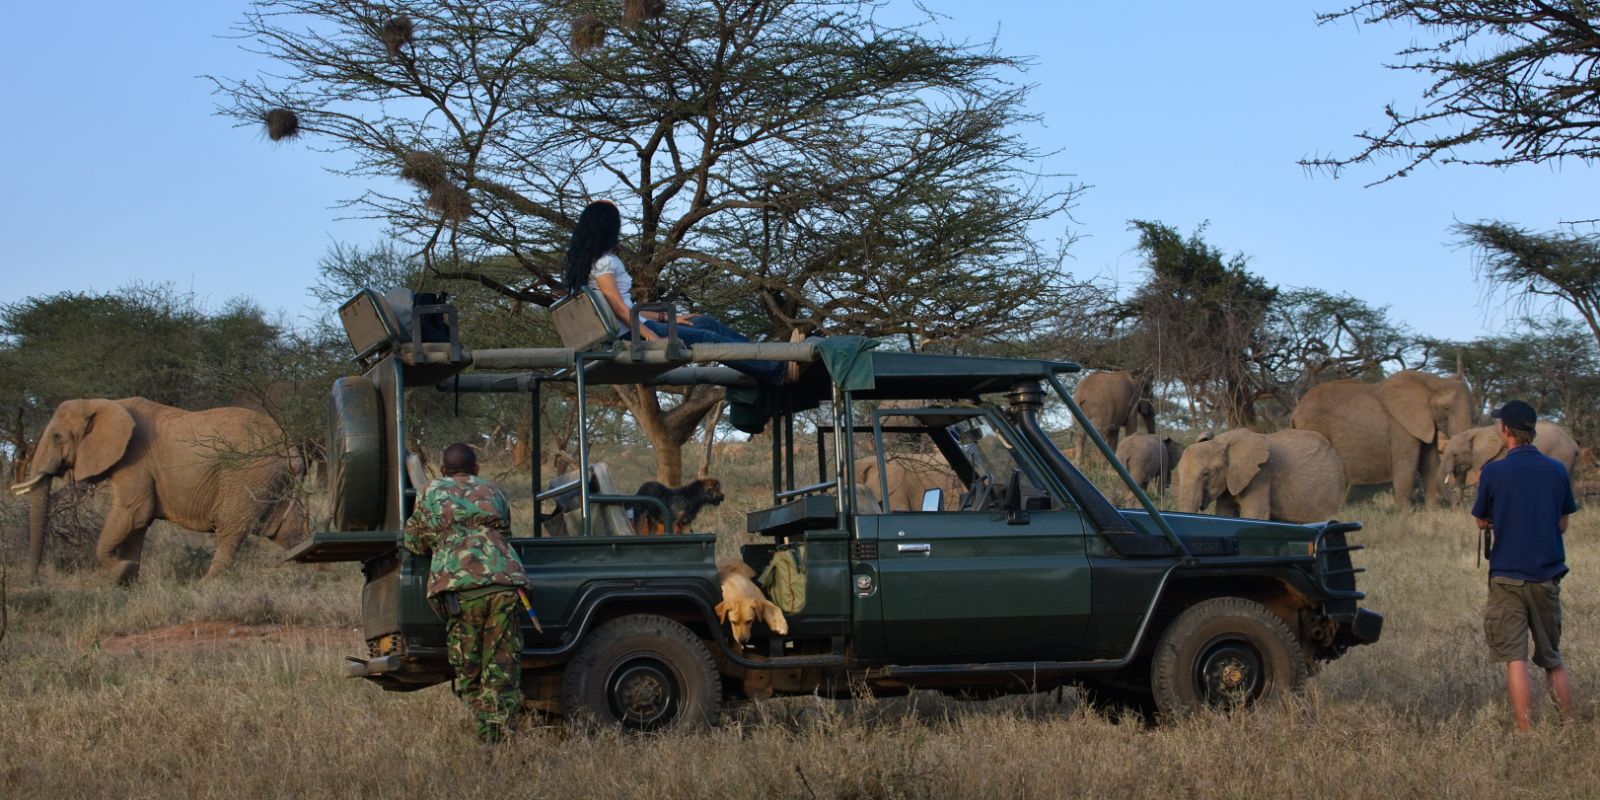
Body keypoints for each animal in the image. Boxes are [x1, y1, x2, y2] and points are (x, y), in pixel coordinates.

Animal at [11, 398, 308, 583]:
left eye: (57, 436)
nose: (32, 579)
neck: (103, 403)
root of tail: (290, 446)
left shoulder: (135, 460)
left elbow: (133, 514)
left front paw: (122, 571)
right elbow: (136, 526)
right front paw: (127, 582)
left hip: (247, 476)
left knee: (231, 530)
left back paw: (204, 584)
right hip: (274, 480)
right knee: (285, 529)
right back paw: (310, 574)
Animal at [1176, 428, 1348, 523]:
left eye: (1206, 473)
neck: (1222, 440)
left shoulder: (1261, 475)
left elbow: (1254, 515)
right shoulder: (1231, 479)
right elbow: (1225, 512)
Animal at [1290, 370, 1472, 508]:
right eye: (1446, 408)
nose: (1457, 505)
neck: (1433, 381)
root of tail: (1295, 411)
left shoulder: (1426, 424)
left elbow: (1430, 462)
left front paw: (1433, 512)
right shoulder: (1400, 426)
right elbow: (1407, 463)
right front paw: (1406, 515)